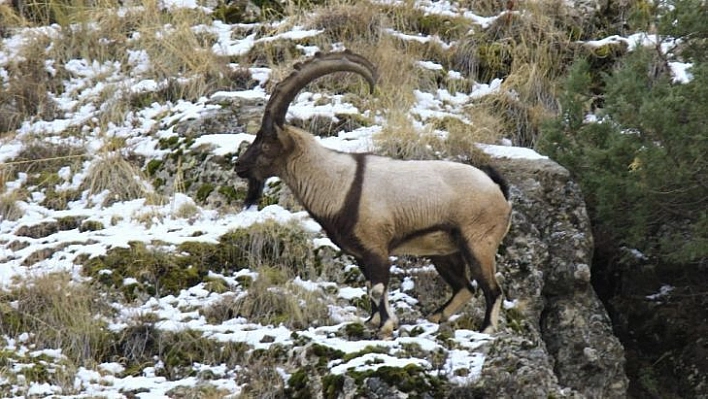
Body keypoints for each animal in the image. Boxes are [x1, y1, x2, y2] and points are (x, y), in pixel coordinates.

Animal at [235, 50, 512, 338]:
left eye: (266, 143)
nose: (239, 166)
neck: (338, 184)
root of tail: (498, 190)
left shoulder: (376, 246)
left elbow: (378, 288)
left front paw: (387, 325)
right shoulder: (360, 254)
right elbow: (369, 288)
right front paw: (373, 322)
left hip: (478, 243)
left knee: (492, 289)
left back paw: (487, 328)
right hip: (444, 251)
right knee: (465, 287)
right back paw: (436, 316)